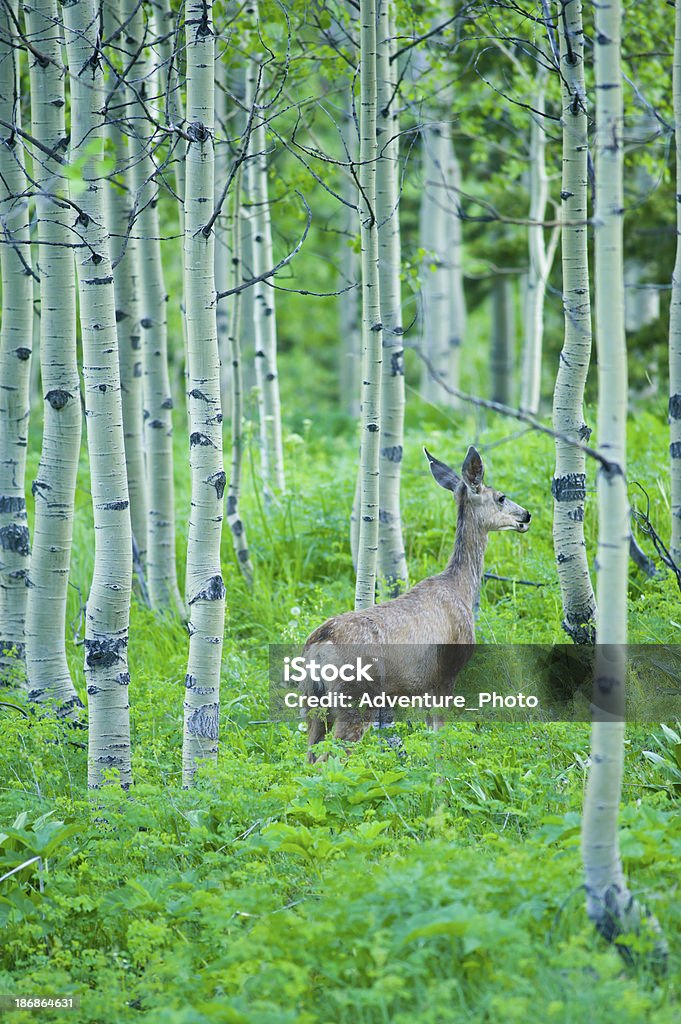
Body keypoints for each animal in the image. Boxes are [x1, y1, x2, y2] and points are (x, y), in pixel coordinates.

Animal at [301, 446, 532, 761]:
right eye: (501, 497)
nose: (526, 515)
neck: (461, 588)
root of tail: (318, 643)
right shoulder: (446, 674)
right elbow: (440, 734)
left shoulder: (424, 686)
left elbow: (429, 733)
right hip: (355, 699)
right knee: (329, 760)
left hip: (312, 704)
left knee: (309, 758)